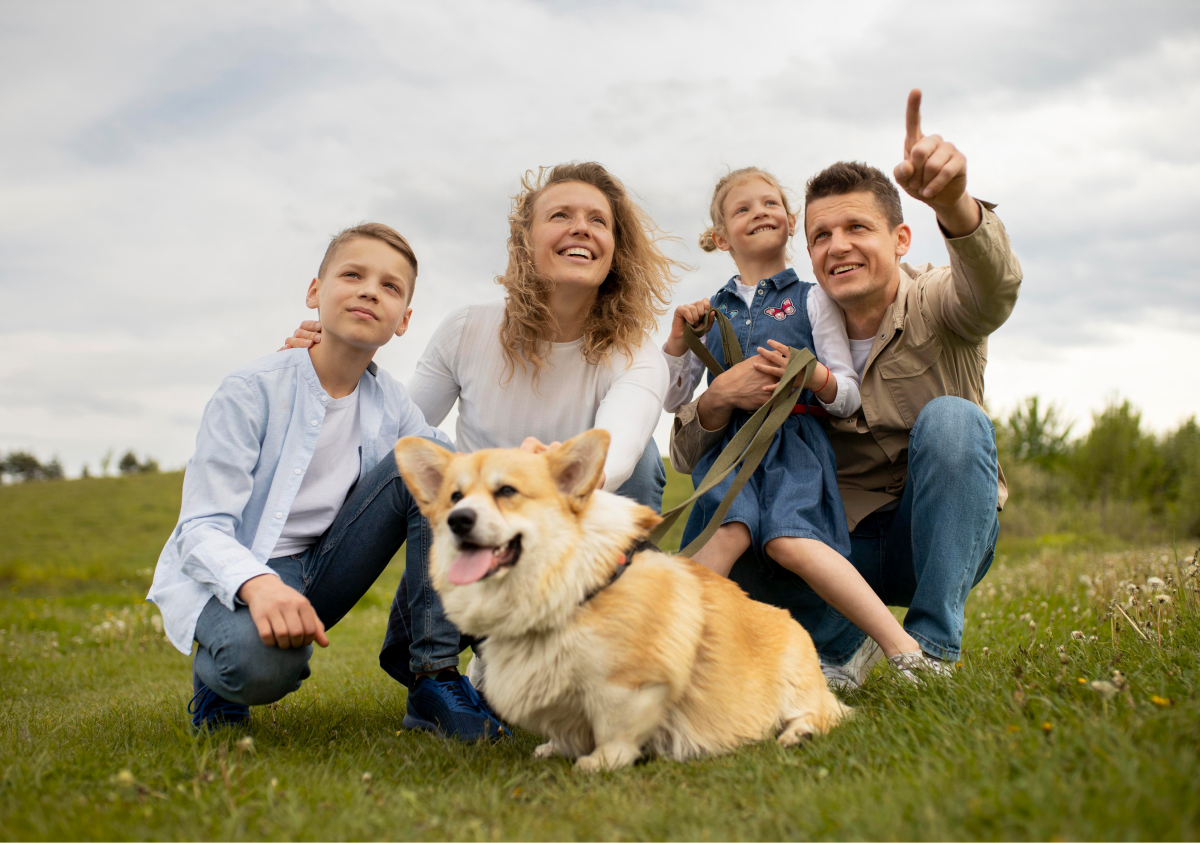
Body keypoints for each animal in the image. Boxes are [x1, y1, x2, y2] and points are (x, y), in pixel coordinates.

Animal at [388, 432, 849, 768]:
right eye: (454, 497)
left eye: (506, 491)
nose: (458, 520)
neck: (571, 586)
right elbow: (564, 727)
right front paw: (556, 749)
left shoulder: (629, 685)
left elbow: (615, 730)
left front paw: (598, 763)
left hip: (796, 682)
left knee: (824, 715)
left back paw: (798, 733)